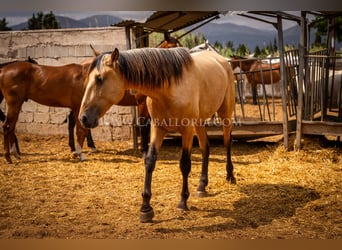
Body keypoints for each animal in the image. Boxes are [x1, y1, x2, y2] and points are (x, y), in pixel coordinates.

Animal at [79, 47, 236, 223]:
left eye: (99, 79)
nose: (83, 118)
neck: (171, 87)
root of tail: (222, 60)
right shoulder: (157, 128)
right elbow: (150, 161)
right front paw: (146, 207)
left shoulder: (187, 130)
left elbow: (185, 164)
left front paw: (183, 201)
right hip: (199, 121)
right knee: (205, 148)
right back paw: (202, 186)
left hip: (225, 114)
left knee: (227, 142)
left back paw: (230, 176)